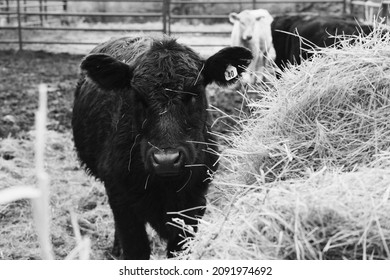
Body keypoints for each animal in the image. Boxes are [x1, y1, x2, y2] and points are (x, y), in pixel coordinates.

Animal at [71, 35, 251, 260]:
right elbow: (136, 249)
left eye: (194, 93)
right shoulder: (121, 199)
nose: (166, 160)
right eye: (138, 96)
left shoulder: (195, 203)